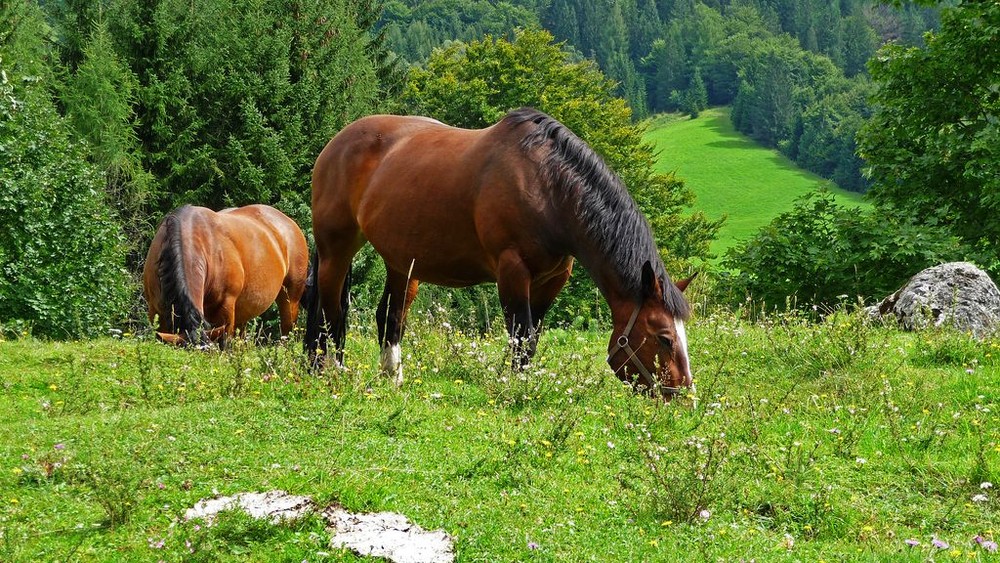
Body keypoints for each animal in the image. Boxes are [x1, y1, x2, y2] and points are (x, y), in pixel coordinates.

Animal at [304, 108, 696, 398]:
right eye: (664, 338)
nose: (683, 397)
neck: (548, 187)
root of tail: (337, 142)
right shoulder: (512, 272)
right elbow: (521, 337)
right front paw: (517, 389)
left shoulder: (552, 280)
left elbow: (532, 337)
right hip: (336, 247)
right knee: (329, 310)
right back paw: (328, 369)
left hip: (402, 262)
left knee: (390, 316)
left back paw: (392, 376)